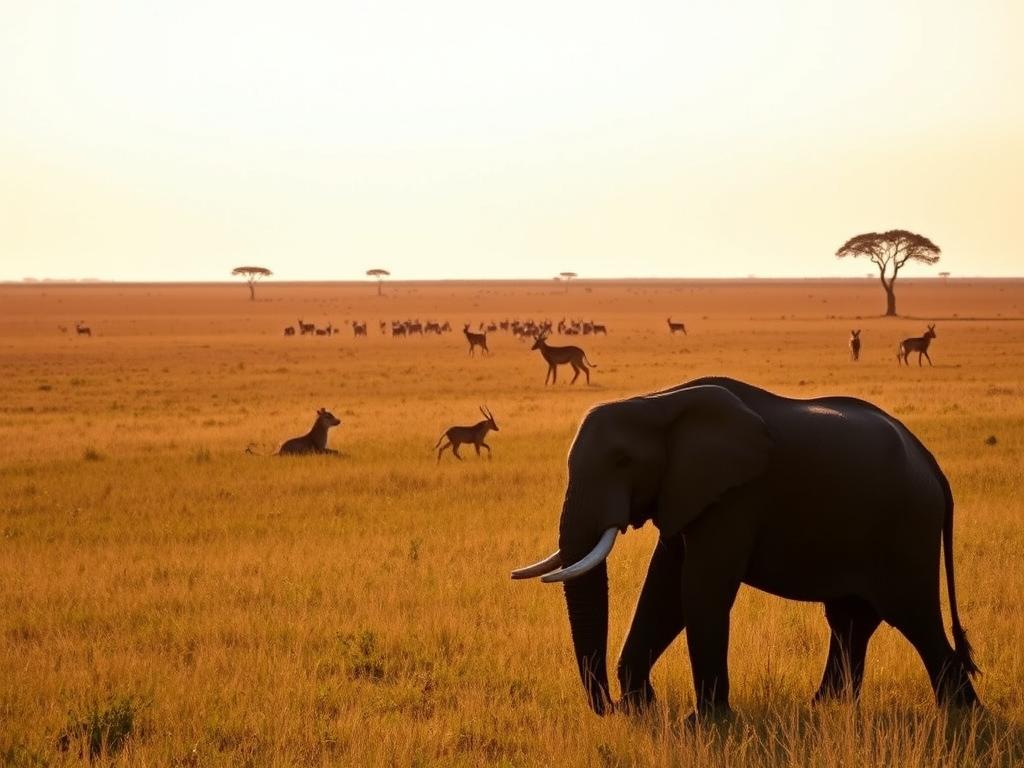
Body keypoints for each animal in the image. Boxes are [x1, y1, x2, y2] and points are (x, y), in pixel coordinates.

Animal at [512, 376, 980, 719]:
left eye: (623, 461)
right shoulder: (688, 492)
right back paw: (825, 709)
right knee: (850, 620)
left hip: (906, 527)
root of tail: (933, 467)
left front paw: (703, 723)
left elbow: (699, 590)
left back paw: (962, 716)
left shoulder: (735, 497)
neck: (657, 403)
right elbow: (664, 589)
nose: (611, 708)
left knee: (914, 617)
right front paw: (646, 709)